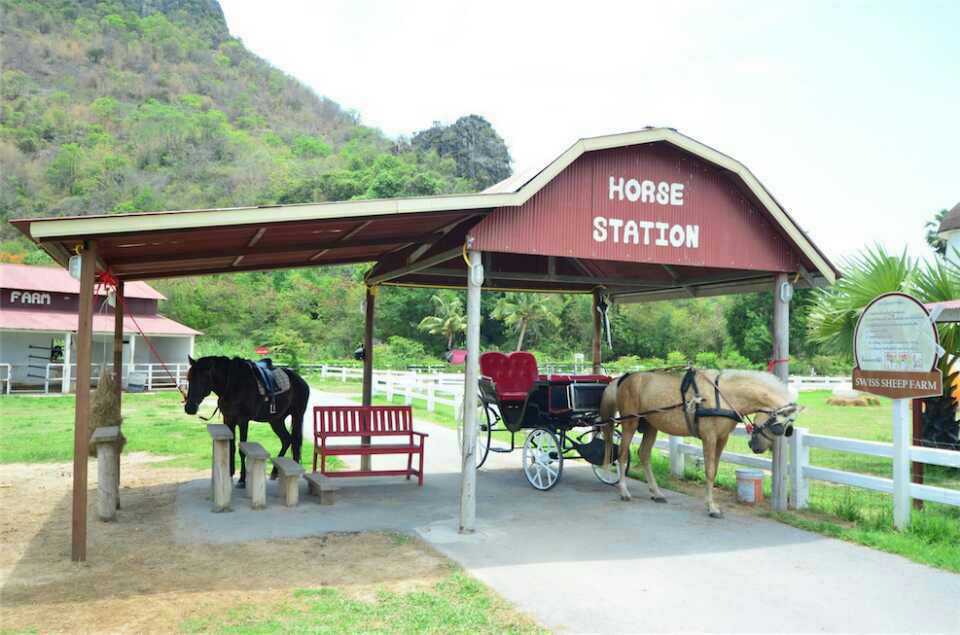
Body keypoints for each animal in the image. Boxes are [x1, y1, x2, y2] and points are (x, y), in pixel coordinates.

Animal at [186, 358, 310, 486]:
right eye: (189, 378)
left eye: (202, 379)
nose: (189, 408)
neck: (232, 384)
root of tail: (302, 381)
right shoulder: (229, 420)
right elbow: (231, 447)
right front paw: (230, 473)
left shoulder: (243, 421)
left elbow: (242, 450)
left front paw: (242, 479)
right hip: (276, 420)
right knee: (287, 440)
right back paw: (274, 472)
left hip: (297, 416)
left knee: (295, 442)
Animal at [600, 370, 804, 520]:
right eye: (778, 426)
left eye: (788, 429)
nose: (757, 447)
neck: (725, 396)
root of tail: (623, 378)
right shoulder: (709, 437)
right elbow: (710, 470)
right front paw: (712, 507)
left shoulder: (722, 439)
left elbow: (715, 469)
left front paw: (711, 504)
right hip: (630, 423)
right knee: (622, 454)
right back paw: (624, 491)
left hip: (651, 425)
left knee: (643, 454)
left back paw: (656, 492)